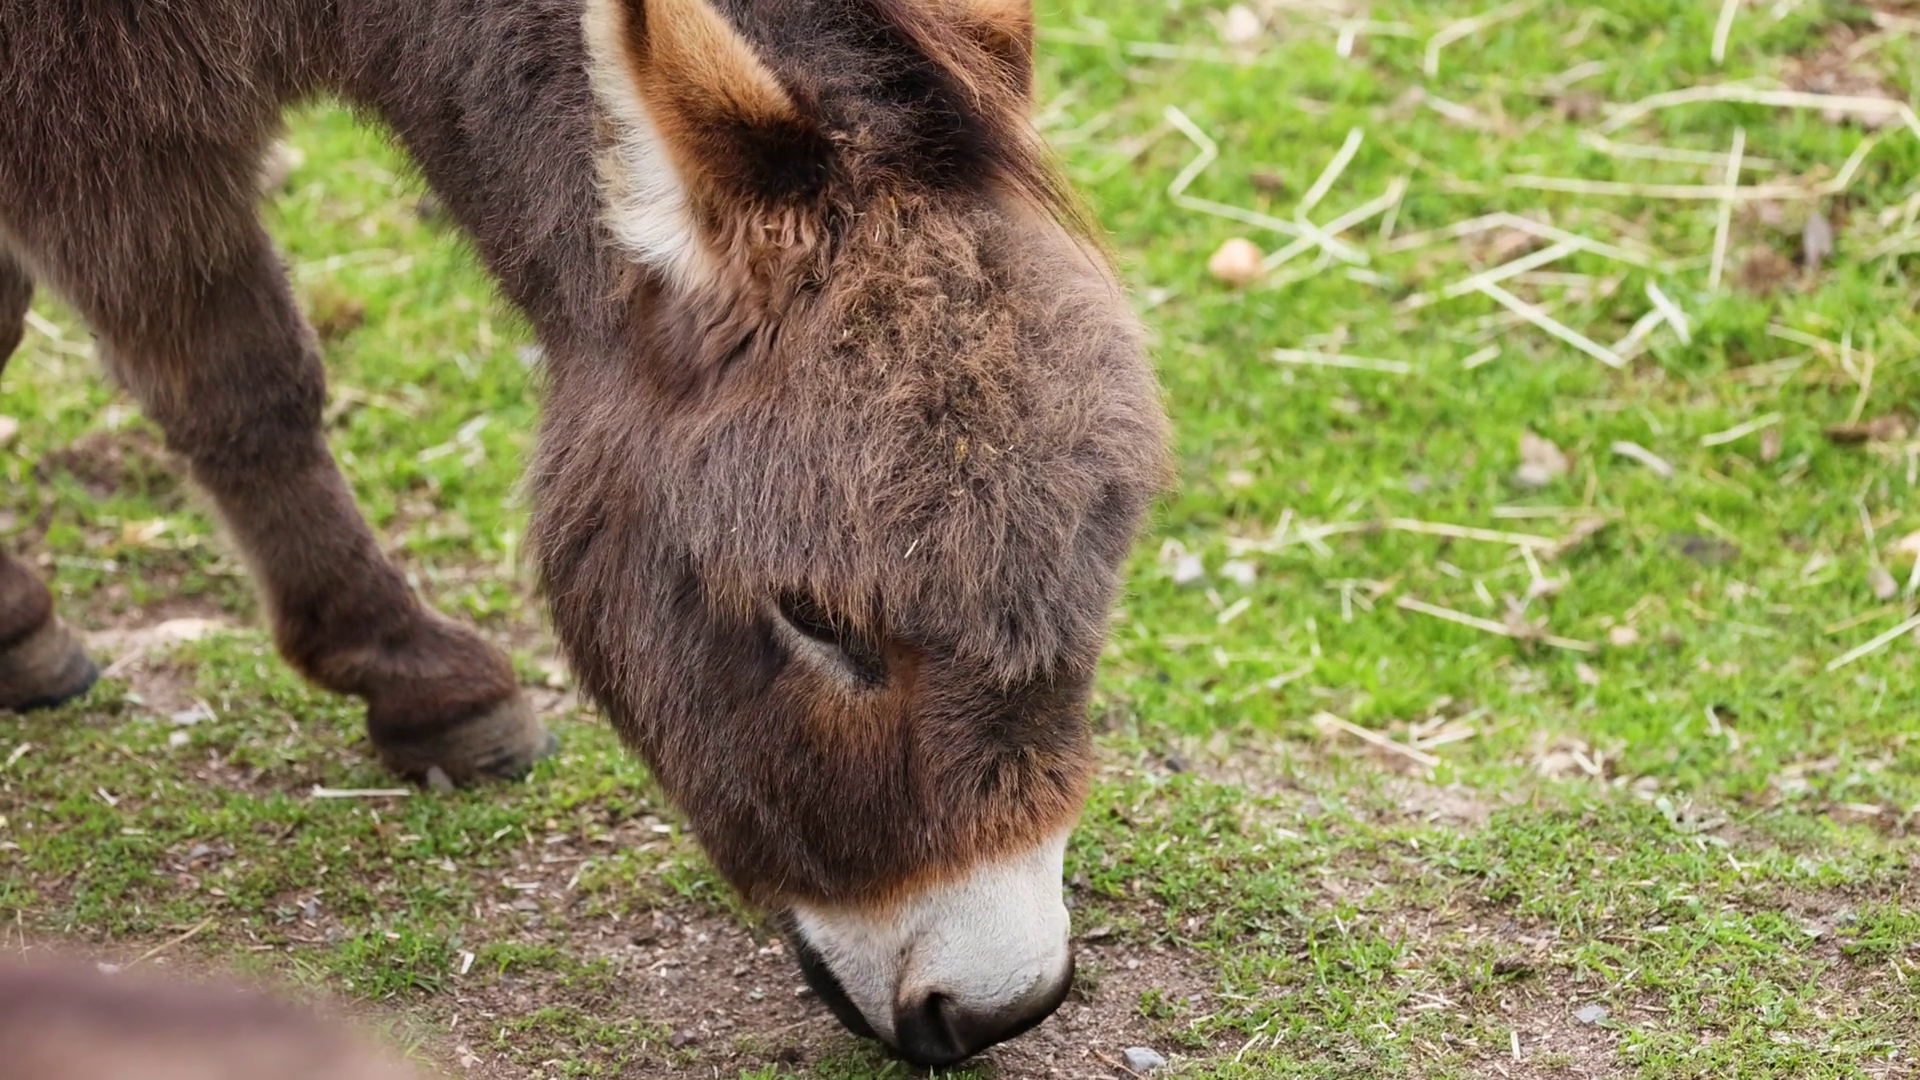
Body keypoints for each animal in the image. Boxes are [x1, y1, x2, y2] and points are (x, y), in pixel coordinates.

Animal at [0, 0, 1169, 1063]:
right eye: (815, 619)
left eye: (1097, 578)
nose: (1002, 1008)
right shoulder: (97, 108)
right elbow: (240, 378)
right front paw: (405, 663)